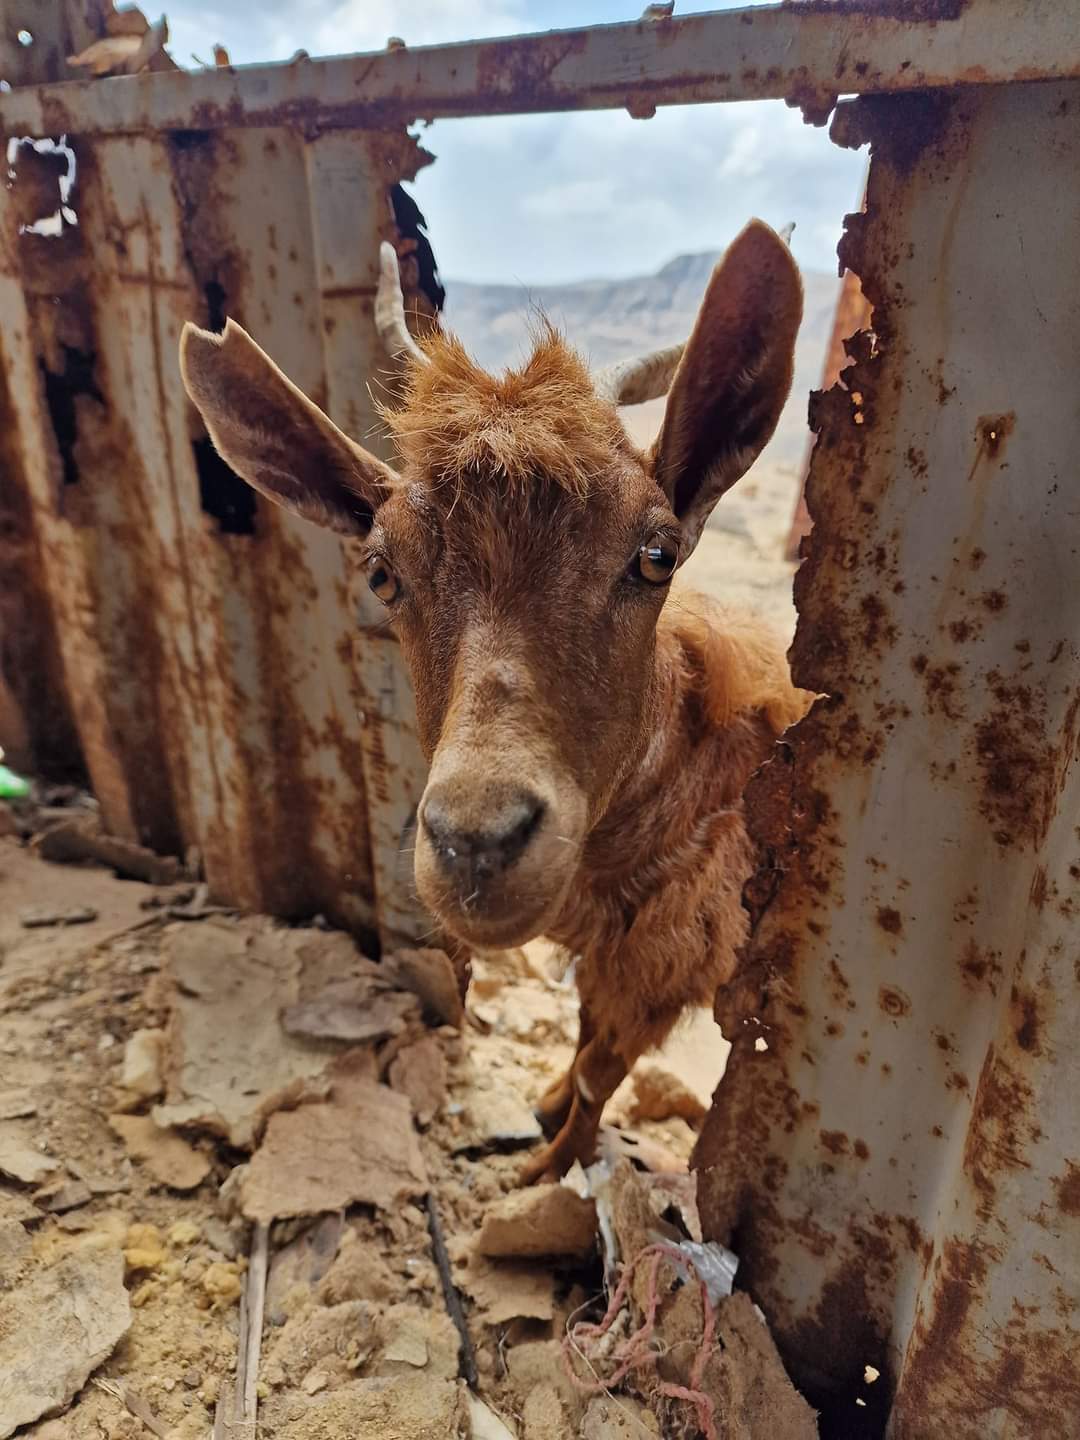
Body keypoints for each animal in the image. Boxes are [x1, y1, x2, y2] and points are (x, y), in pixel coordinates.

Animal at [182, 216, 817, 1180]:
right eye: (382, 571)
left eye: (656, 555)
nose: (476, 844)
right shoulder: (607, 947)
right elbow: (586, 1040)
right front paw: (547, 1110)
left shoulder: (665, 951)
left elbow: (603, 1068)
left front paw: (547, 1171)